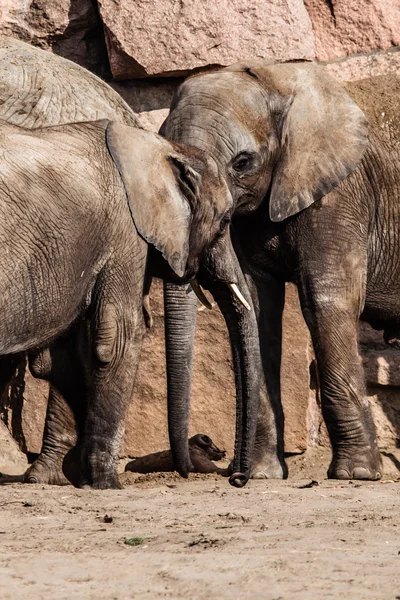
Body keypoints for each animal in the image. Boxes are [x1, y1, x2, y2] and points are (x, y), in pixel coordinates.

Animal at [159, 62, 400, 482]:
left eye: (242, 163)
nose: (234, 476)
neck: (274, 79)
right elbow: (259, 310)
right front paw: (262, 476)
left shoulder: (341, 191)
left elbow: (326, 301)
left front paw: (355, 475)